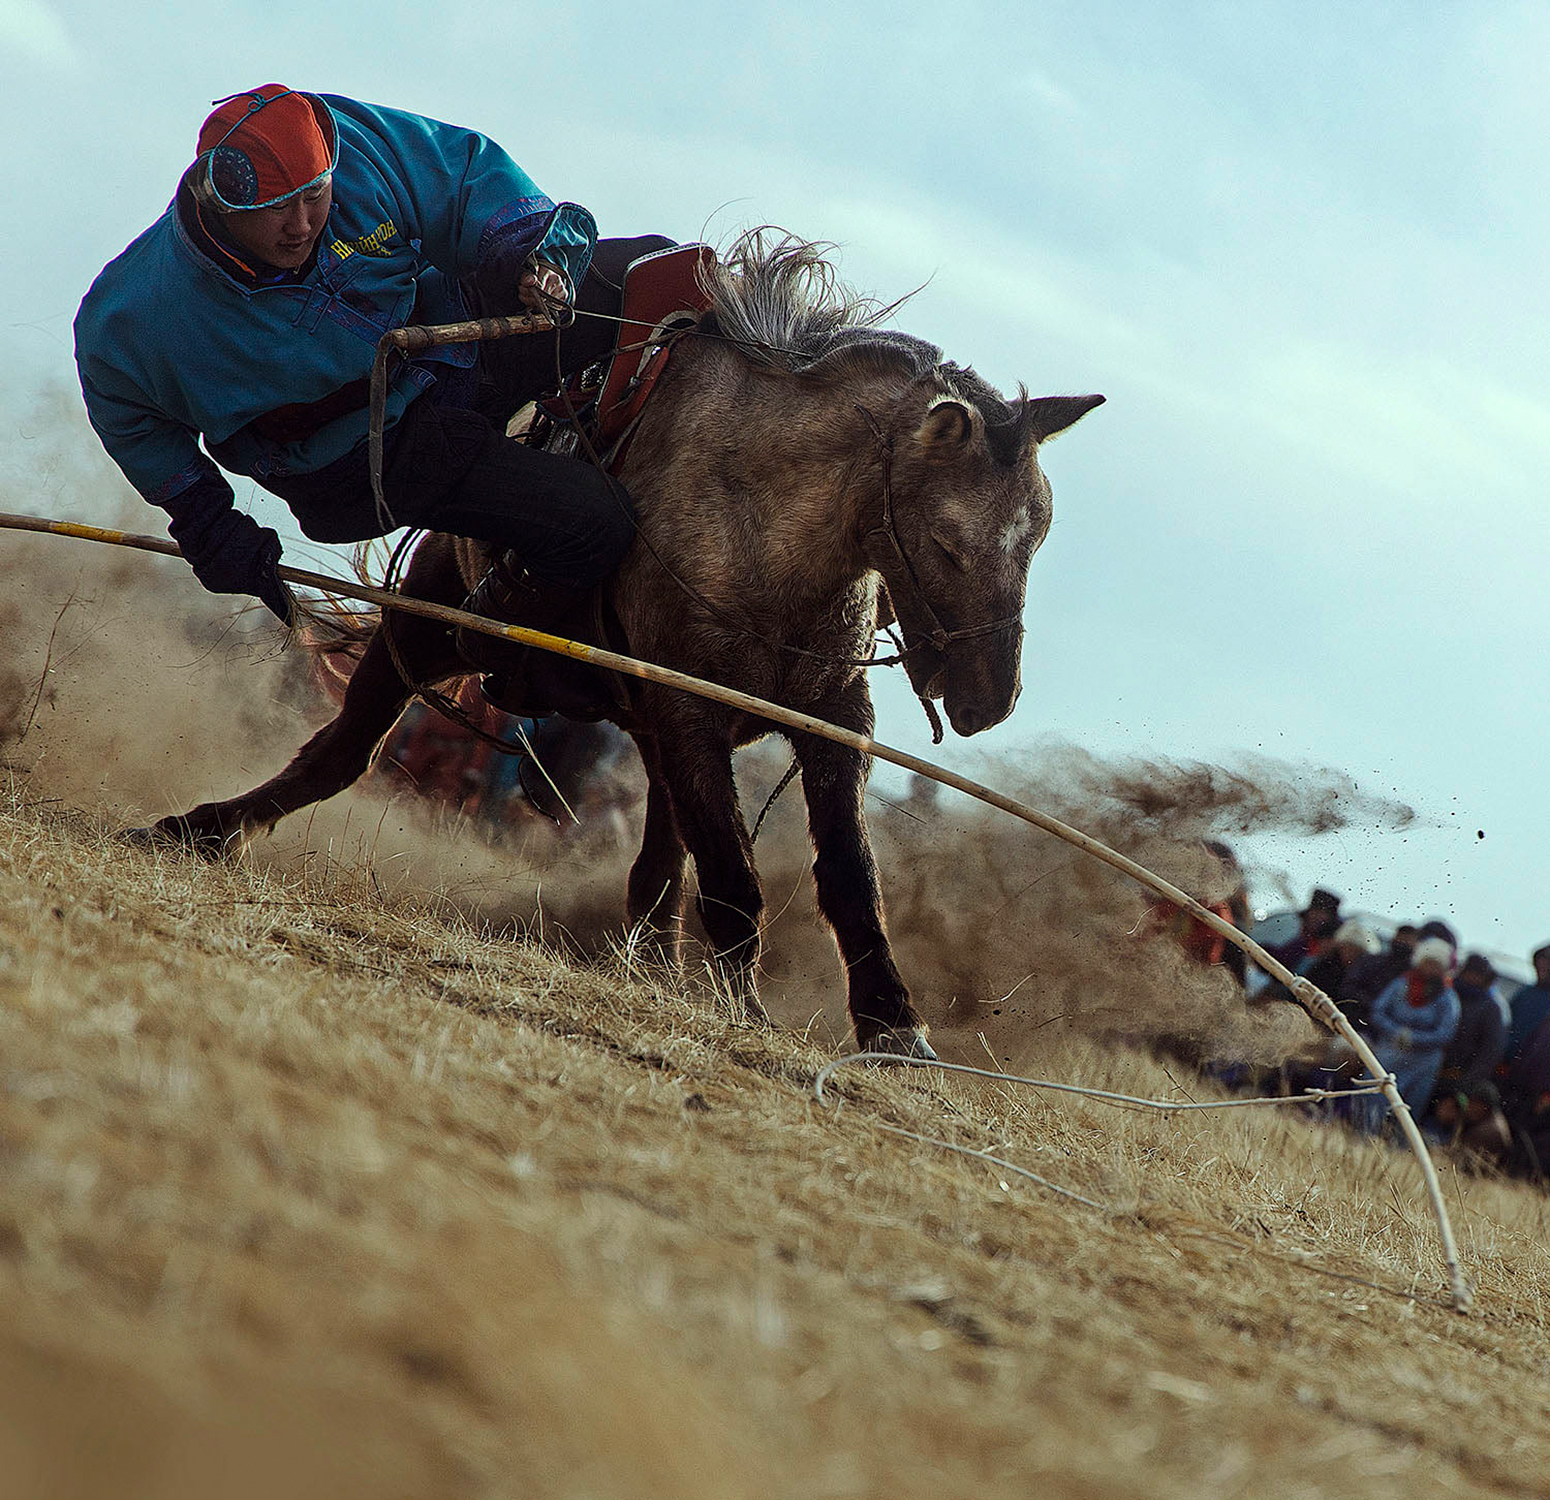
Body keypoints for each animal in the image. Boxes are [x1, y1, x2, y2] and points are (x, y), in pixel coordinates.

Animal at [136, 233, 1103, 1053]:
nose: (988, 700)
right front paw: (745, 1009)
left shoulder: (829, 723)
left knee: (661, 847)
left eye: (1037, 538)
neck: (768, 520)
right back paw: (206, 828)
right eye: (946, 544)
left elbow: (846, 876)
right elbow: (734, 876)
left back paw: (649, 956)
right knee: (345, 750)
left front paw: (892, 1024)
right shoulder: (690, 709)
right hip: (436, 624)